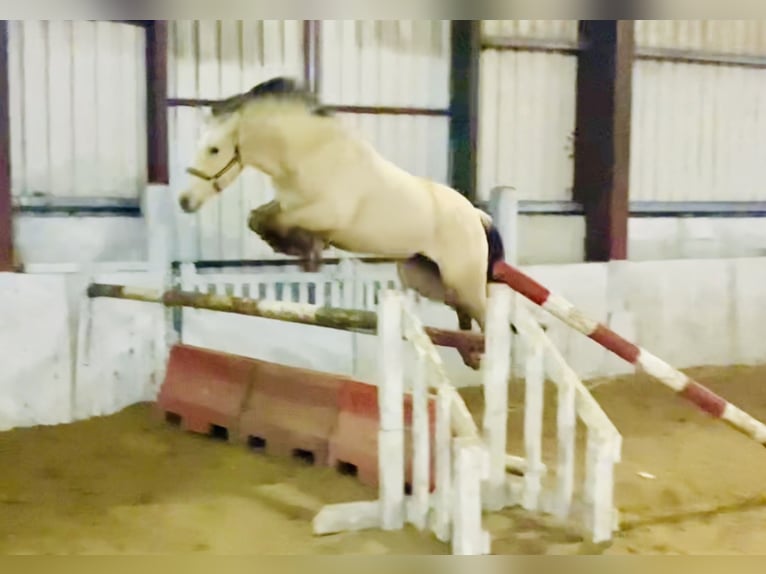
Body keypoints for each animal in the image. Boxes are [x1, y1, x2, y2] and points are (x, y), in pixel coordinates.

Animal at [177, 76, 507, 369]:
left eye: (214, 149)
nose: (184, 201)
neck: (309, 155)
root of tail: (476, 214)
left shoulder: (324, 213)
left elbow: (276, 221)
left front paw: (304, 248)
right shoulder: (288, 204)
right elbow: (258, 218)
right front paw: (298, 248)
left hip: (463, 280)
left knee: (484, 315)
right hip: (427, 279)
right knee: (461, 310)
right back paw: (470, 355)